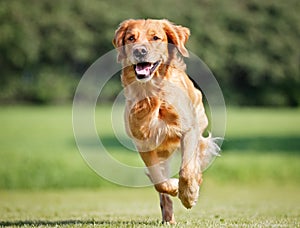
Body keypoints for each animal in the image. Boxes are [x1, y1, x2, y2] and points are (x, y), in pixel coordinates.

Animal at [113, 19, 219, 224]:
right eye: (131, 38)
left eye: (156, 37)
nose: (139, 51)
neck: (152, 94)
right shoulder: (143, 142)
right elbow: (158, 180)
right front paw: (174, 187)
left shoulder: (189, 130)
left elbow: (187, 170)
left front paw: (189, 195)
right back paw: (168, 216)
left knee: (196, 163)